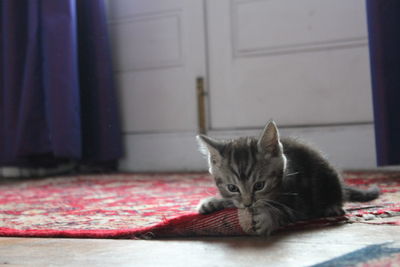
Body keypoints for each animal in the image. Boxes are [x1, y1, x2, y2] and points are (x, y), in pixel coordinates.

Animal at [198, 121, 380, 237]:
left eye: (259, 185)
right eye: (232, 188)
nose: (249, 204)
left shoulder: (301, 201)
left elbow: (285, 212)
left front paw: (268, 218)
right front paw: (213, 202)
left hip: (328, 175)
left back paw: (332, 207)